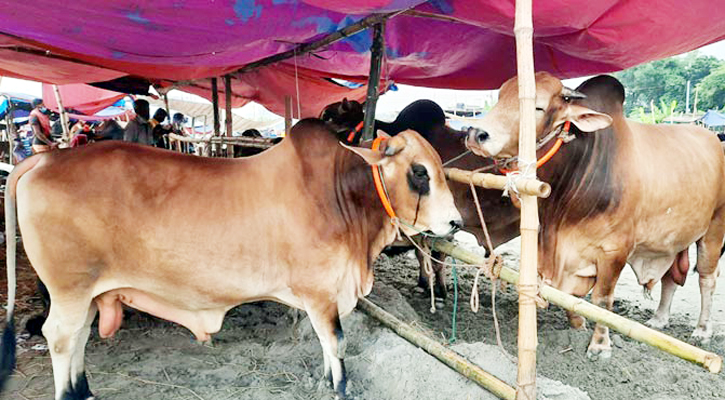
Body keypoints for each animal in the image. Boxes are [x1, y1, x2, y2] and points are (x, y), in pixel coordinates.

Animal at [0, 119, 460, 400]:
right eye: (420, 172)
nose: (456, 223)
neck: (338, 193)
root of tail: (45, 157)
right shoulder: (320, 293)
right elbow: (337, 342)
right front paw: (340, 387)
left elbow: (327, 344)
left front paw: (329, 379)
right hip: (70, 289)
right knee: (60, 337)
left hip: (90, 293)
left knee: (79, 337)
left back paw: (85, 390)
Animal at [464, 72, 724, 360]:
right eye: (499, 97)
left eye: (537, 107)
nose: (476, 133)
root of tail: (713, 138)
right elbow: (568, 295)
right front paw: (578, 324)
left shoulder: (614, 251)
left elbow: (601, 300)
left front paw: (600, 345)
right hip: (673, 239)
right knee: (670, 277)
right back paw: (659, 319)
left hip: (714, 229)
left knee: (707, 279)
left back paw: (702, 330)